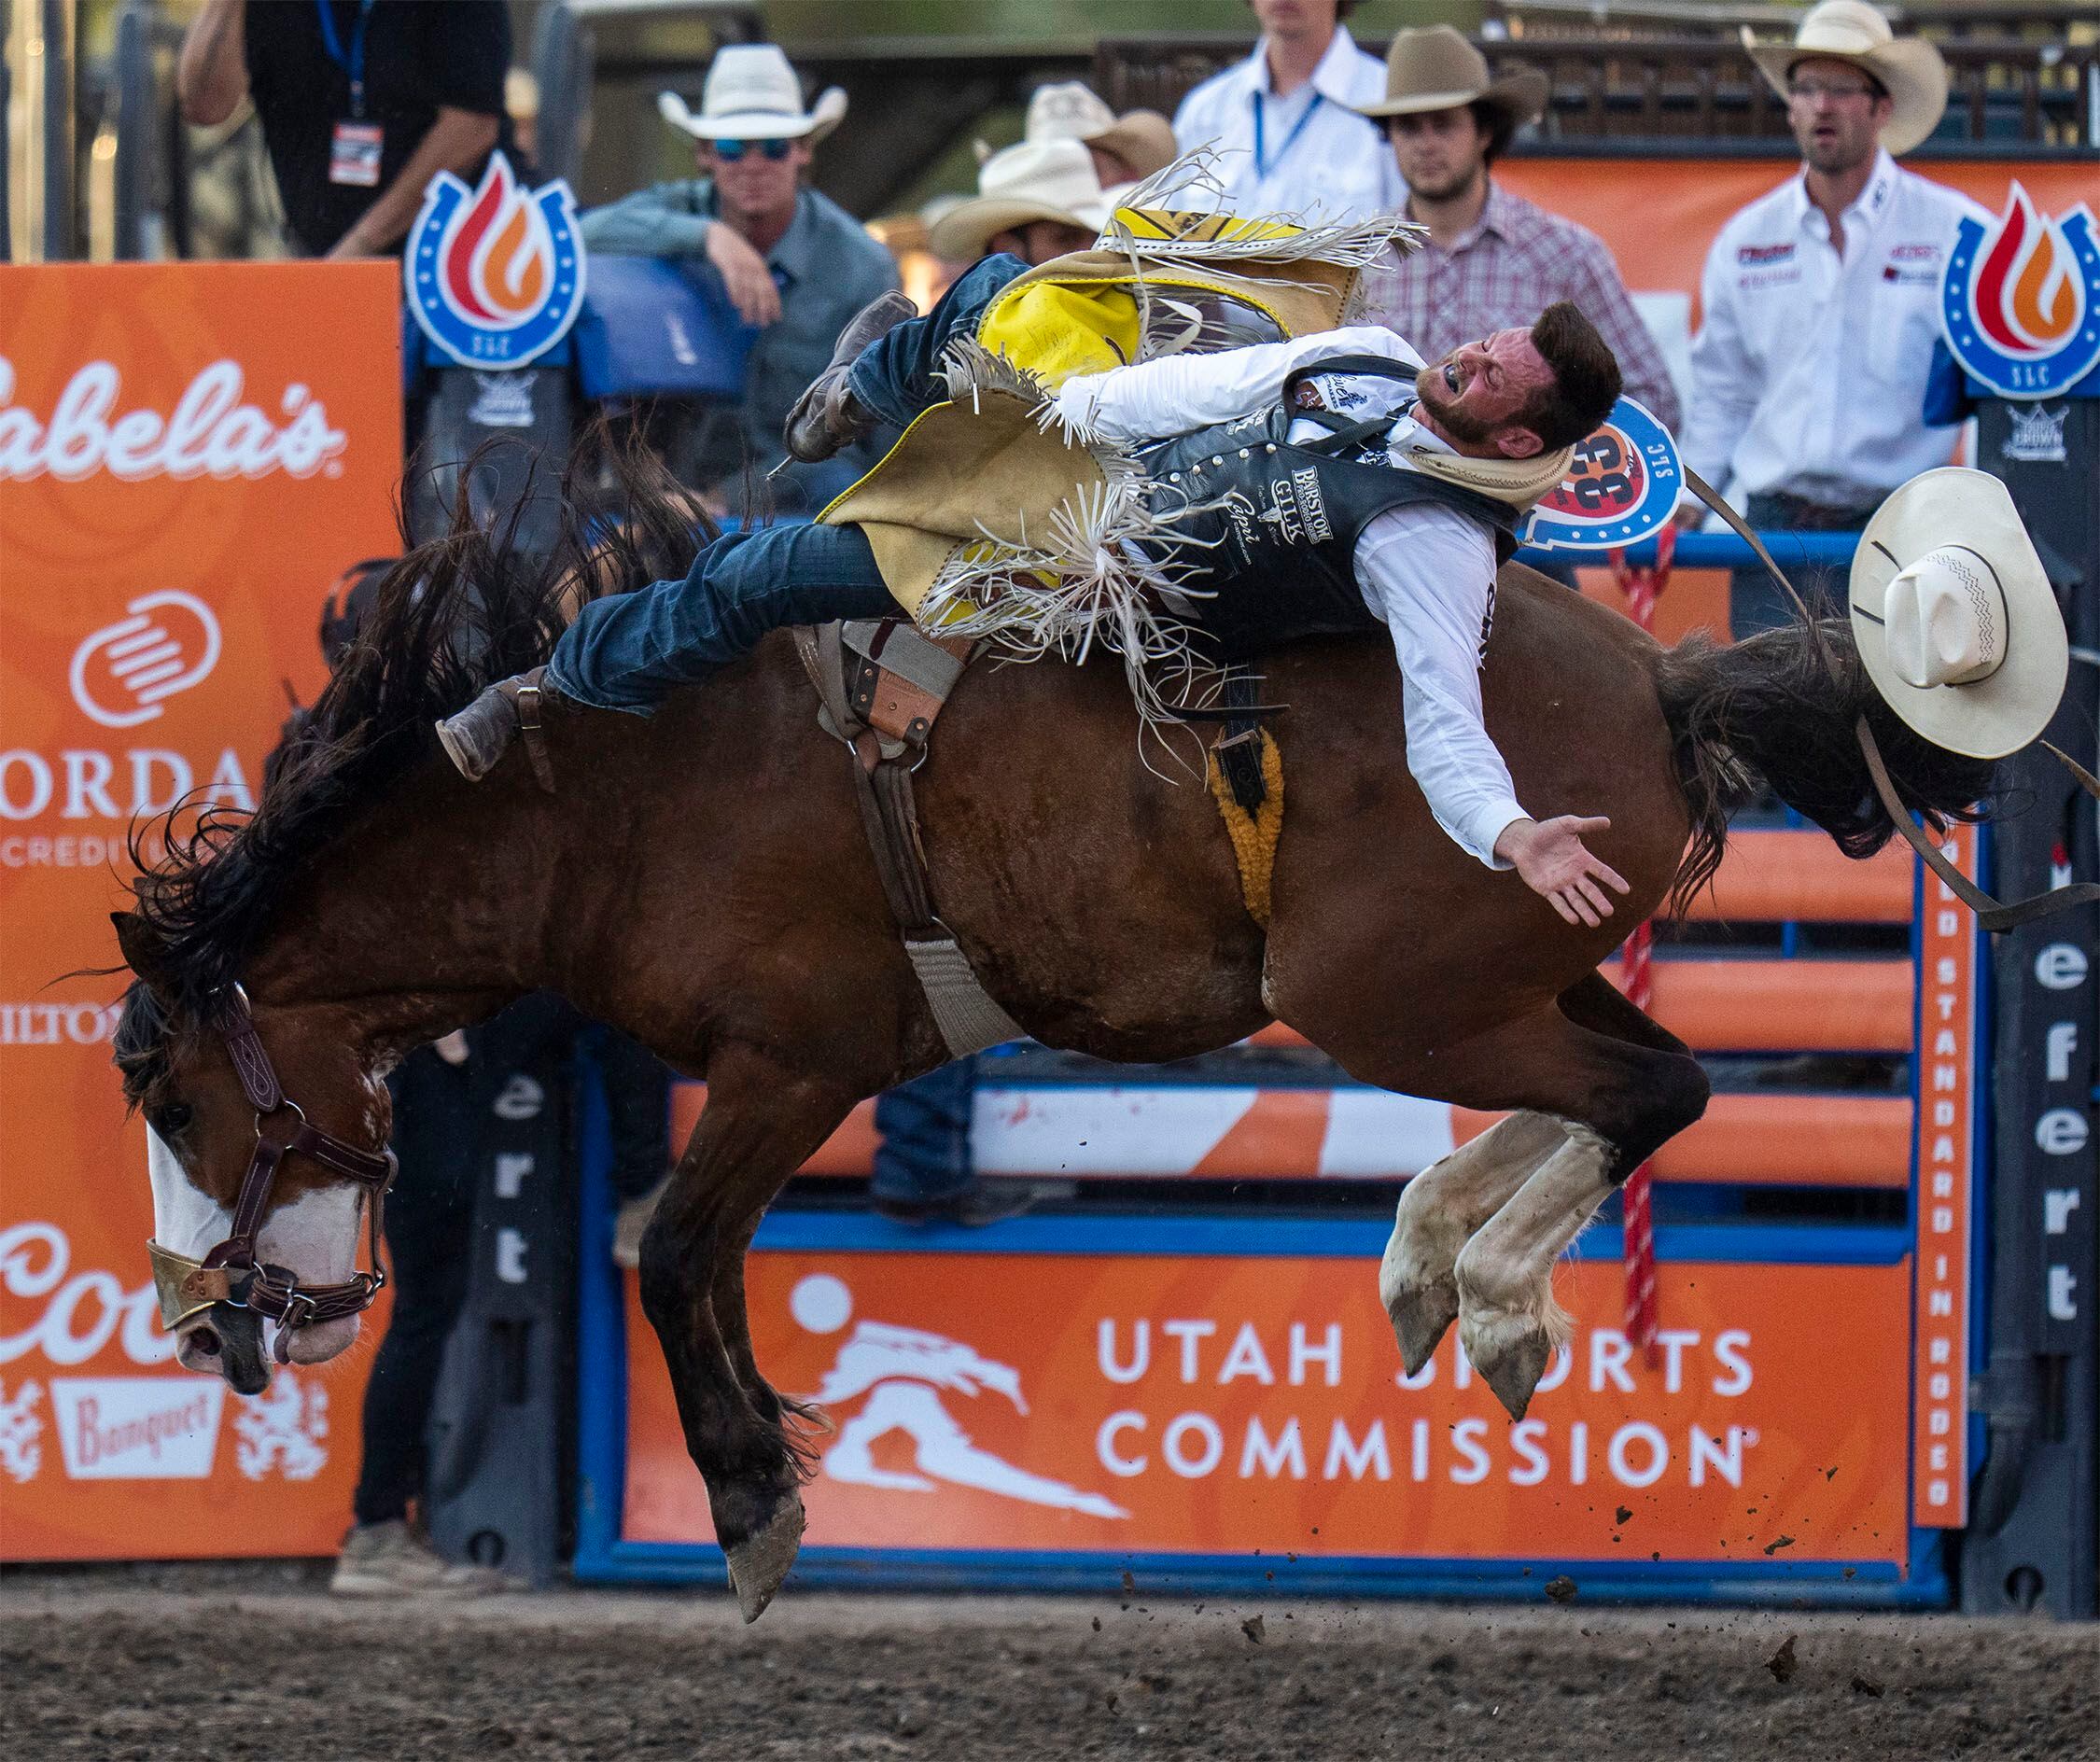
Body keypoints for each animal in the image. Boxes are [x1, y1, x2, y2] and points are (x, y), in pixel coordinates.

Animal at [110, 457, 1982, 1629]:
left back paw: (1500, 1297)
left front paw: (750, 1501)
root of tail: (1661, 684)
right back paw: (1430, 1257)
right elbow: (698, 1261)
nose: (207, 1323)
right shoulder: (787, 1077)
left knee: (1654, 1086)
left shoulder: (792, 1060)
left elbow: (679, 1258)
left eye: (180, 1097)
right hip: (1491, 974)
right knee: (1640, 1083)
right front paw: (769, 1463)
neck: (610, 794)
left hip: (1387, 992)